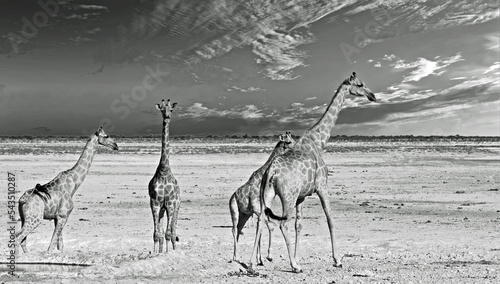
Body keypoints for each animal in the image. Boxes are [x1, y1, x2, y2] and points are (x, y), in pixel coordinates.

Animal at [229, 131, 294, 264]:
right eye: (289, 141)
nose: (296, 149)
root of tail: (232, 196)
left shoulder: (261, 210)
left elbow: (265, 229)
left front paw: (261, 258)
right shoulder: (257, 210)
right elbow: (266, 228)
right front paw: (266, 257)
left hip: (245, 214)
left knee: (239, 228)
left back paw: (235, 257)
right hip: (234, 210)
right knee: (234, 229)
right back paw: (236, 257)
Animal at [248, 72, 376, 272]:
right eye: (360, 84)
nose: (373, 96)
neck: (319, 140)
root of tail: (271, 172)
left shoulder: (302, 196)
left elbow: (299, 225)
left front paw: (298, 258)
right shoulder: (322, 186)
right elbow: (330, 219)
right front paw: (337, 260)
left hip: (268, 194)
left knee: (262, 220)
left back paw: (252, 264)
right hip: (288, 196)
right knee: (282, 223)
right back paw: (293, 266)